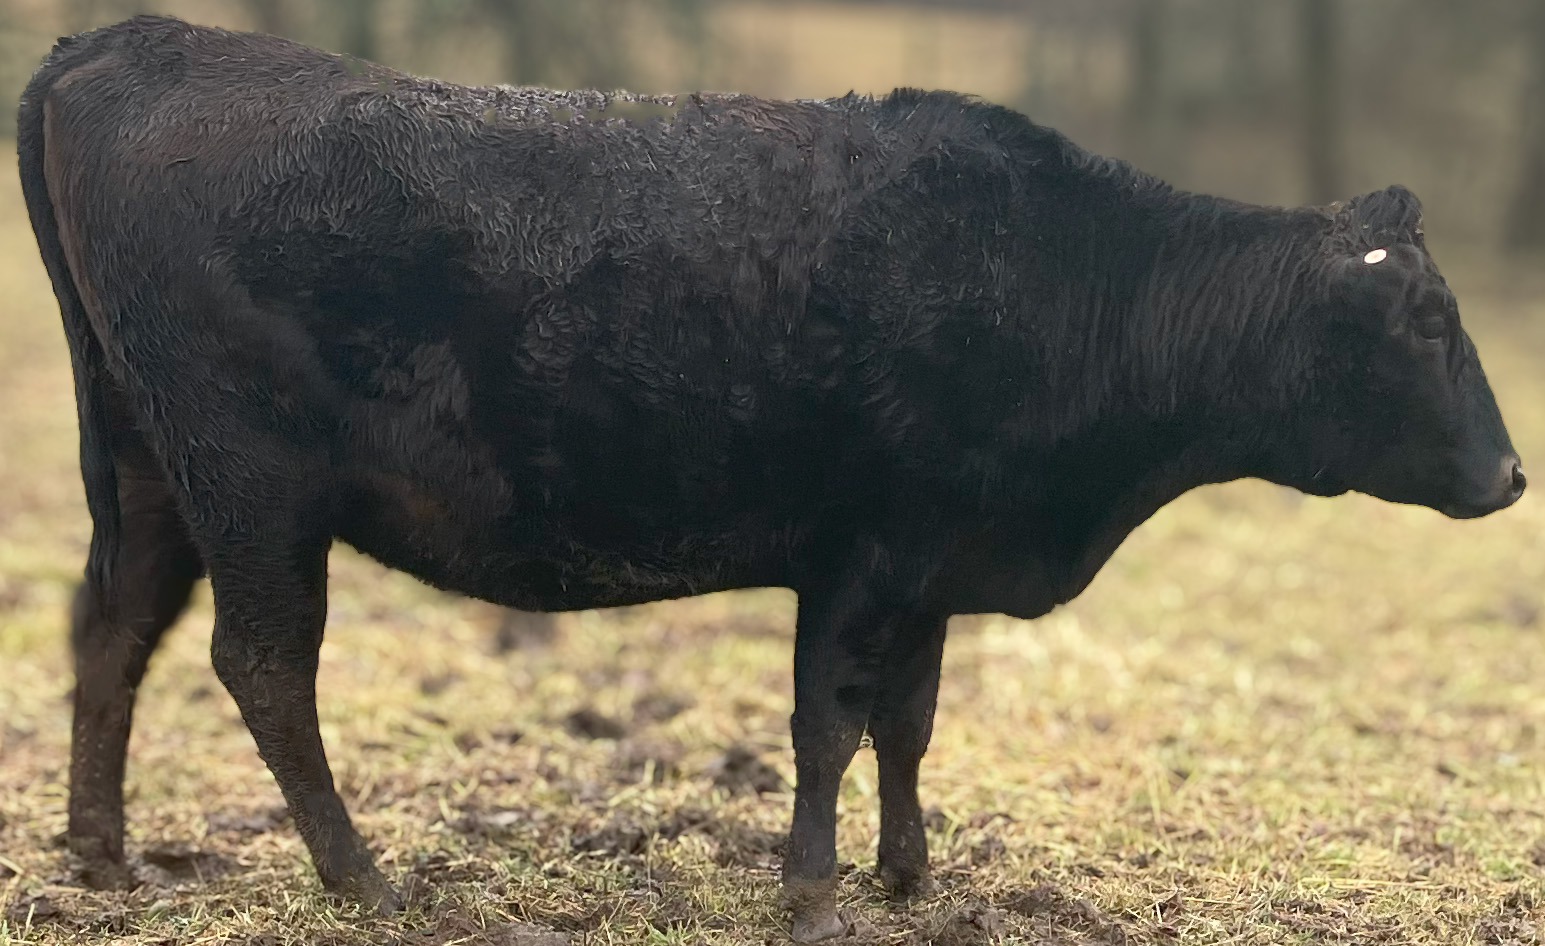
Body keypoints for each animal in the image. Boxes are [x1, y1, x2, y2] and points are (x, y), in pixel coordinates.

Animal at [18, 18, 1526, 939]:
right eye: (1425, 324)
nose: (1516, 473)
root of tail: (133, 40)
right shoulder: (860, 554)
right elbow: (828, 725)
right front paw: (813, 889)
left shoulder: (929, 563)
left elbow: (910, 723)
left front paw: (909, 871)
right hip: (253, 488)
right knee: (262, 666)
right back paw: (361, 876)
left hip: (150, 473)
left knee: (111, 629)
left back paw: (101, 853)